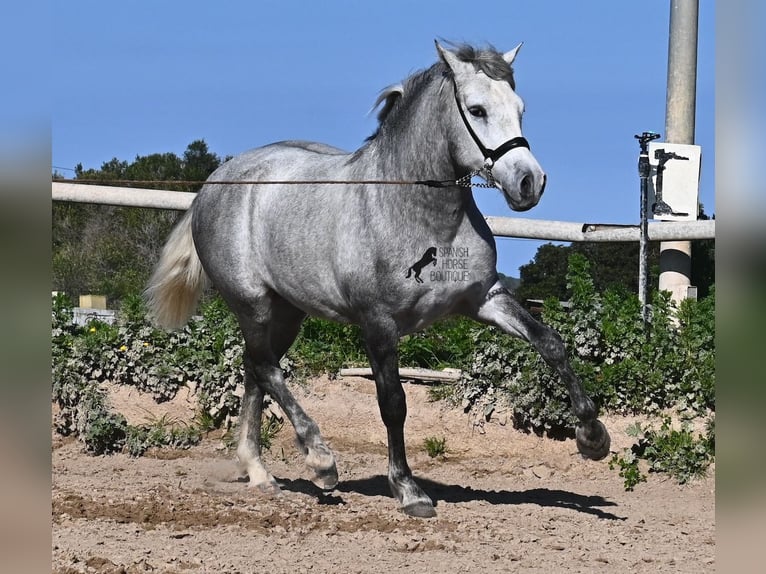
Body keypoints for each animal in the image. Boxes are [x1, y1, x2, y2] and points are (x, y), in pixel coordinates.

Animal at [146, 39, 612, 516]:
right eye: (477, 109)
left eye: (520, 109)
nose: (529, 182)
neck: (421, 217)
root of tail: (214, 183)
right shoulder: (378, 324)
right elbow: (393, 403)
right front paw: (409, 490)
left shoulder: (485, 298)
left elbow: (550, 343)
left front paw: (593, 437)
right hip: (251, 303)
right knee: (265, 367)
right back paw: (320, 461)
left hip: (287, 311)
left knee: (255, 369)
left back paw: (259, 472)